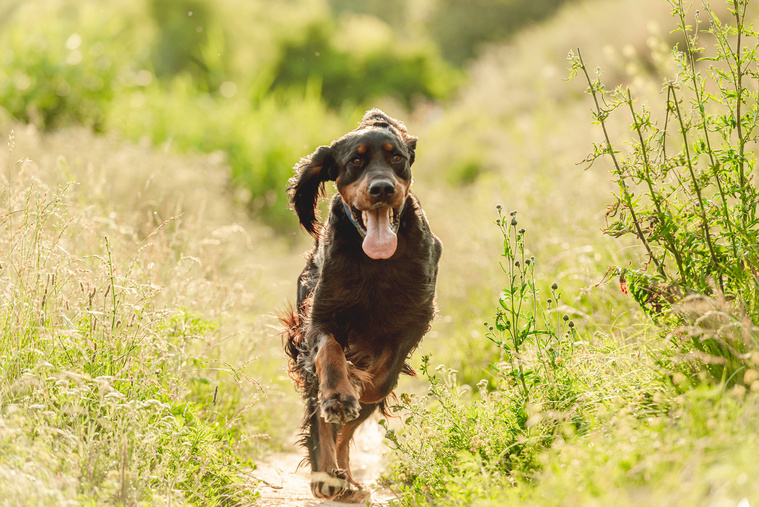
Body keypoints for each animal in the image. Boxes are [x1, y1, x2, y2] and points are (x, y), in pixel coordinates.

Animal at [282, 109, 442, 502]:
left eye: (396, 157)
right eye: (355, 161)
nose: (381, 188)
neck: (376, 263)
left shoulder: (414, 318)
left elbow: (382, 378)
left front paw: (360, 384)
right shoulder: (319, 318)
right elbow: (331, 353)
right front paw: (341, 393)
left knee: (349, 428)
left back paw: (346, 480)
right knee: (321, 418)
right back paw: (327, 476)